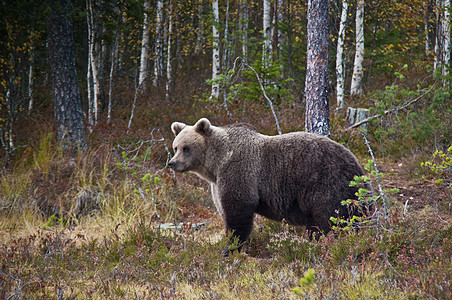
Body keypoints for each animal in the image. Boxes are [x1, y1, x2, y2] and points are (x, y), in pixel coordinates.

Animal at [169, 117, 368, 253]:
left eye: (186, 148)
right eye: (175, 147)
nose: (172, 163)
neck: (216, 164)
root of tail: (358, 168)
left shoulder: (239, 172)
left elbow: (238, 211)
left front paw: (231, 247)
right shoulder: (218, 184)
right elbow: (225, 211)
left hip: (326, 184)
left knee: (327, 220)